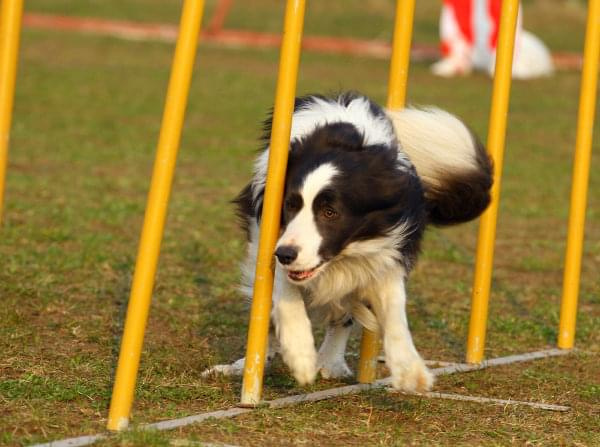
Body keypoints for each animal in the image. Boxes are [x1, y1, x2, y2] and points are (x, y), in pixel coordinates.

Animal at [206, 91, 492, 392]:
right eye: (290, 206)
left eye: (330, 212)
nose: (285, 254)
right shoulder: (268, 233)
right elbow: (285, 291)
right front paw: (300, 356)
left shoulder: (390, 247)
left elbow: (393, 306)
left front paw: (410, 370)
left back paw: (330, 360)